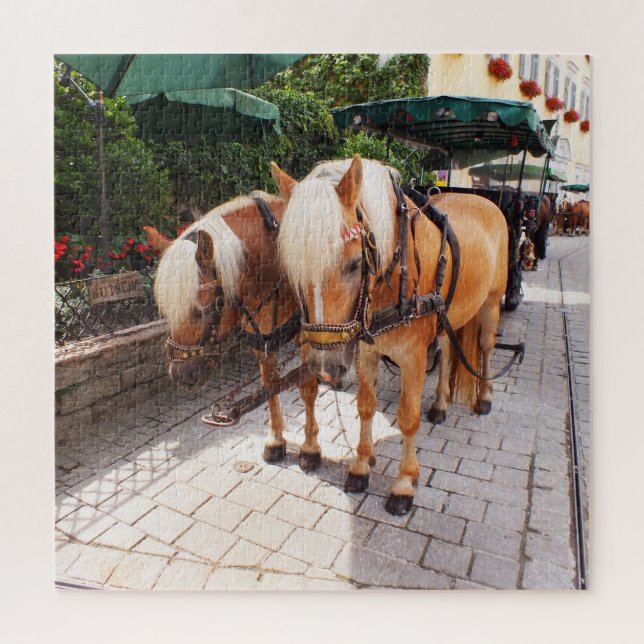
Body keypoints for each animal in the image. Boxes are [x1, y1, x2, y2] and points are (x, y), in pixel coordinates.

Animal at [148, 193, 322, 470]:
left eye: (202, 309)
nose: (180, 374)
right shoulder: (263, 340)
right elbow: (270, 386)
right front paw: (275, 442)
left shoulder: (310, 337)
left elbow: (307, 386)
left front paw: (310, 449)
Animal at [272, 155, 508, 515]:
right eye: (293, 268)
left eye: (355, 263)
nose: (325, 368)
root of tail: (484, 200)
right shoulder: (368, 351)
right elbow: (366, 407)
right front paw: (360, 466)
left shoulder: (412, 357)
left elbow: (407, 418)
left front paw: (404, 484)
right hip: (448, 315)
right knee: (447, 350)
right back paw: (440, 403)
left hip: (491, 303)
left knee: (484, 348)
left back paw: (484, 397)